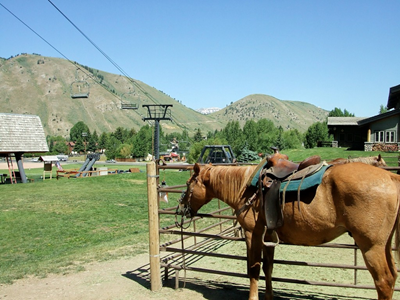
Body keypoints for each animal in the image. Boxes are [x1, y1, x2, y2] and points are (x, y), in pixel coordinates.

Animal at [178, 159, 400, 298]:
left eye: (188, 184)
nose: (181, 208)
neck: (245, 187)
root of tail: (391, 178)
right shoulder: (268, 235)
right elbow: (268, 267)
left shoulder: (253, 234)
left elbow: (253, 268)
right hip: (384, 245)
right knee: (392, 277)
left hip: (371, 246)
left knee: (383, 281)